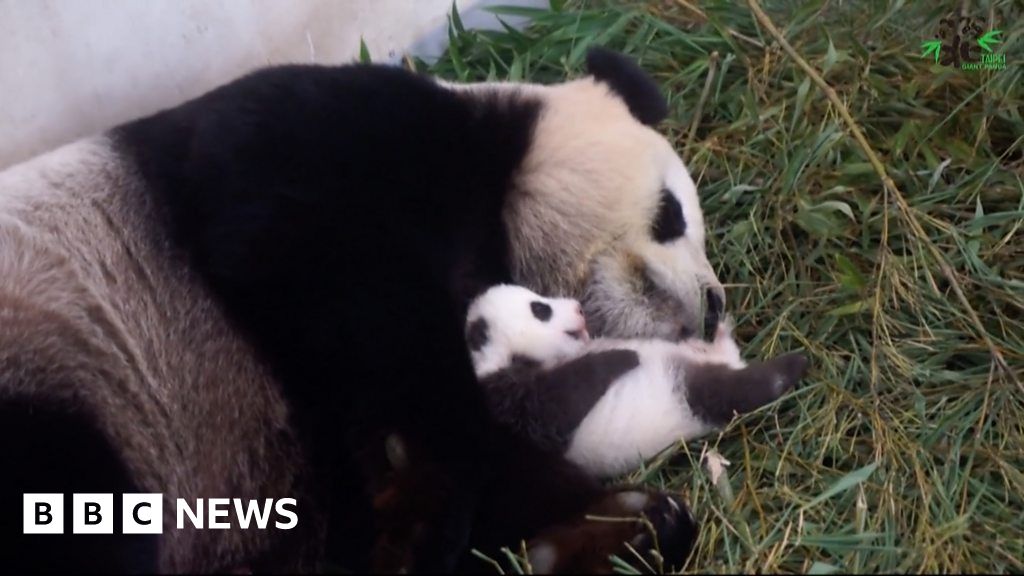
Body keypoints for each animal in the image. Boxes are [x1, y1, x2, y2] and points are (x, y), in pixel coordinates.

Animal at [0, 48, 720, 569]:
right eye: (671, 213)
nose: (713, 307)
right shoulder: (312, 146)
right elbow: (341, 289)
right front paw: (424, 513)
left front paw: (629, 523)